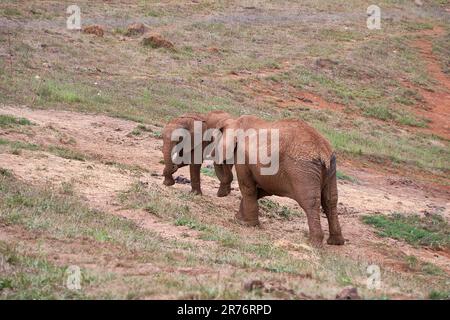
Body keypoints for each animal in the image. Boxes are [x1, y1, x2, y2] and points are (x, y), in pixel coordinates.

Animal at [214, 115, 344, 248]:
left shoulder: (242, 157)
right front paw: (238, 219)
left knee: (310, 202)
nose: (222, 194)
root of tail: (322, 151)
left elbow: (248, 188)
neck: (235, 122)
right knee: (330, 200)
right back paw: (336, 242)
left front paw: (246, 224)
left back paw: (313, 243)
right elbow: (262, 190)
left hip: (303, 172)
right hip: (331, 169)